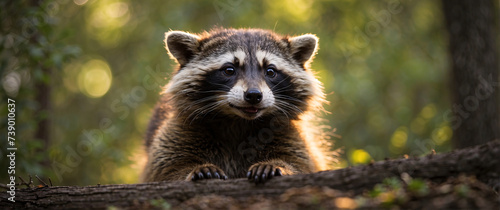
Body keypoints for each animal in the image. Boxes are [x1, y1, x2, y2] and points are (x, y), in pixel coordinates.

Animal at [141, 28, 330, 184]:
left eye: (270, 71)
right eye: (229, 70)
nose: (253, 95)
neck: (239, 121)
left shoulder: (289, 134)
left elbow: (301, 164)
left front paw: (276, 165)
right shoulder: (180, 131)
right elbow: (165, 170)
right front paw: (194, 169)